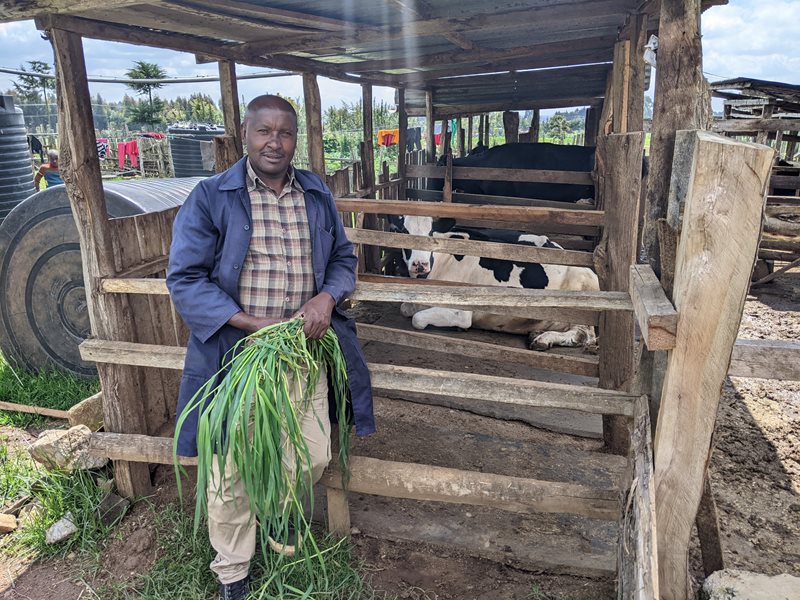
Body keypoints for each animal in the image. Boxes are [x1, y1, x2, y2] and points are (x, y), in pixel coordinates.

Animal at [388, 216, 600, 350]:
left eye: (431, 232)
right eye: (403, 232)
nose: (420, 264)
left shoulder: (461, 312)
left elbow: (418, 319)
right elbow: (405, 308)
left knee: (584, 335)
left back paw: (543, 339)